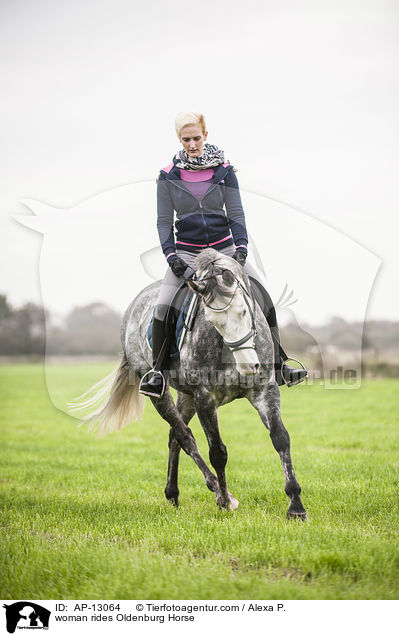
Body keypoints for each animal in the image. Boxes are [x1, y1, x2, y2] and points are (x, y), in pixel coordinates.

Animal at [72, 246, 308, 520]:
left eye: (244, 311)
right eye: (213, 322)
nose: (249, 367)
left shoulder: (264, 389)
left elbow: (280, 438)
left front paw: (296, 506)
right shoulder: (205, 398)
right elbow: (217, 453)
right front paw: (225, 500)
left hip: (187, 396)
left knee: (174, 437)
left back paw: (173, 494)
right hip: (161, 392)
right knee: (185, 438)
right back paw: (214, 490)